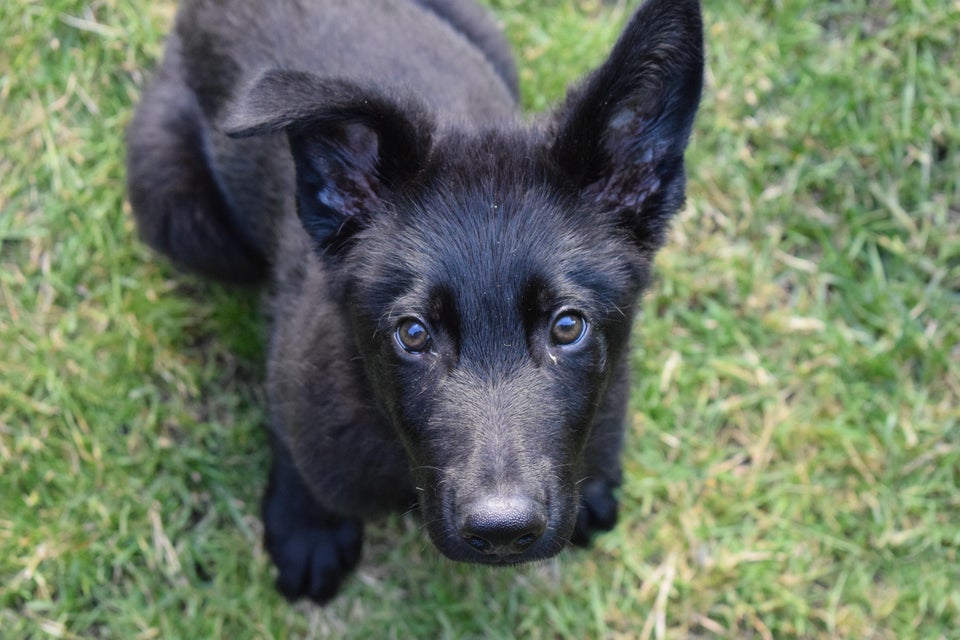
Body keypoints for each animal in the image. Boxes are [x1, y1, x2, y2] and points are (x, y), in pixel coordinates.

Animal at [125, 0, 696, 604]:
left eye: (568, 327)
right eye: (414, 333)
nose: (502, 532)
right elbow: (293, 430)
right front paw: (307, 525)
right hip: (178, 211)